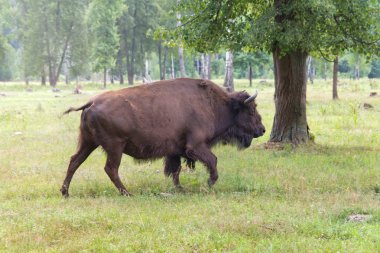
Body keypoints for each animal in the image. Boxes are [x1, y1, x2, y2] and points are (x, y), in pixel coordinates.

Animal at [61, 78, 264, 197]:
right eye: (251, 110)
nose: (261, 130)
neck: (215, 104)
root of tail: (91, 102)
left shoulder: (176, 150)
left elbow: (175, 170)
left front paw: (180, 188)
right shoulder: (195, 146)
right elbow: (212, 160)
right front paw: (209, 183)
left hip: (88, 143)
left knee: (74, 161)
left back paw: (65, 192)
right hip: (114, 147)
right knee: (110, 169)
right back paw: (126, 193)